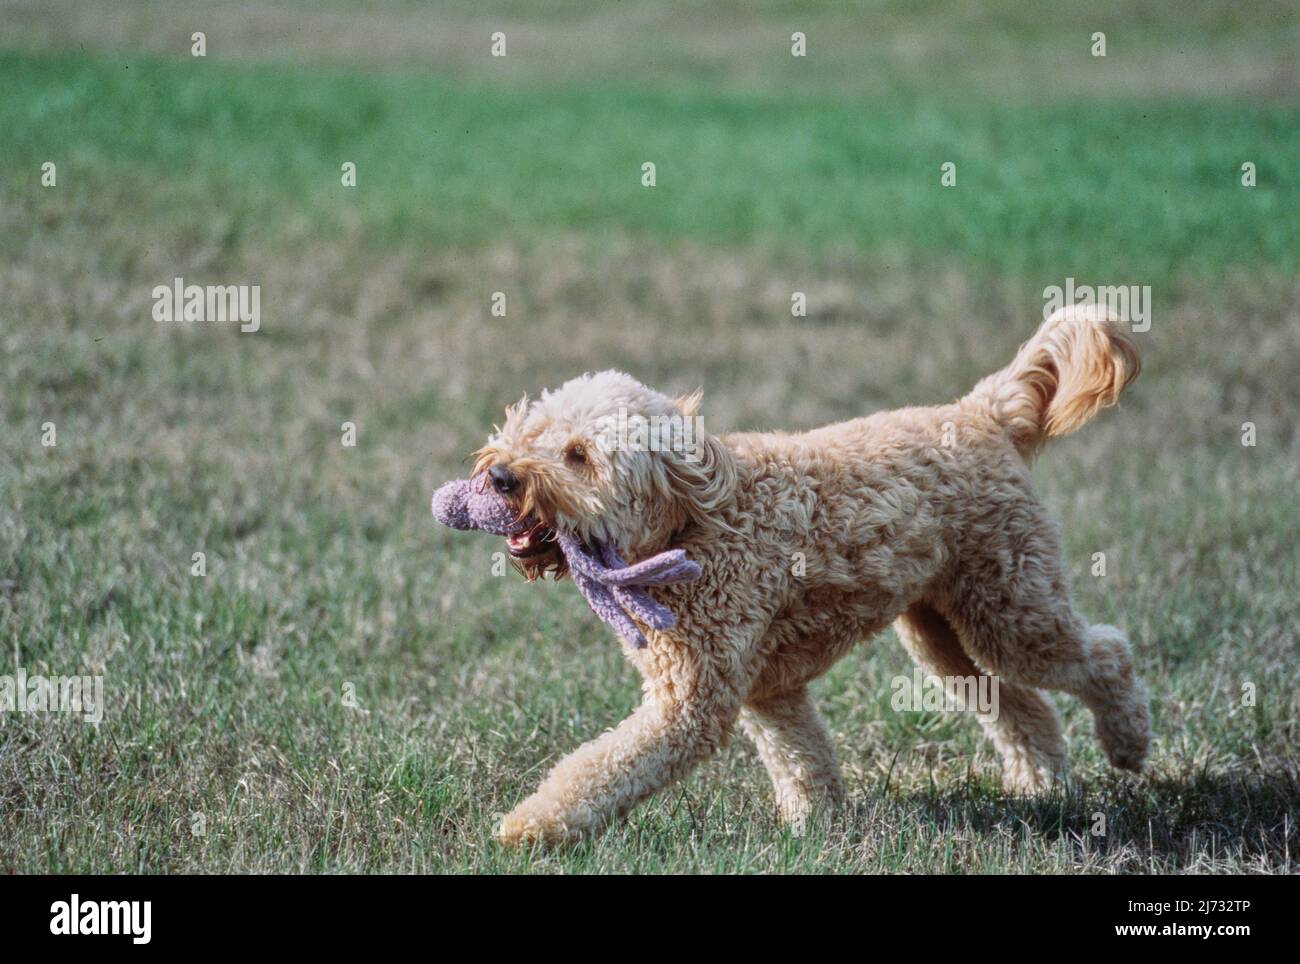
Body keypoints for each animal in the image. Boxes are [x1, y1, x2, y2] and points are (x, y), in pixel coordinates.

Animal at [467, 304, 1149, 847]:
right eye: (535, 430)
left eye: (578, 456)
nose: (501, 476)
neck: (691, 526)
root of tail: (981, 410)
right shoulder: (771, 689)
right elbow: (802, 760)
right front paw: (813, 829)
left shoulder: (692, 701)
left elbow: (604, 765)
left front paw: (531, 826)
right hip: (944, 633)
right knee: (1020, 704)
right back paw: (1043, 786)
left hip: (1010, 608)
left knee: (1107, 655)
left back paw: (1129, 743)